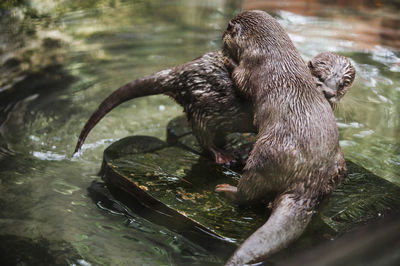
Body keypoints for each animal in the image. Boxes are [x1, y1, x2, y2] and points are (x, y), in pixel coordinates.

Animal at [74, 50, 354, 164]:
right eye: (319, 76)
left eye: (344, 82)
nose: (329, 92)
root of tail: (182, 71)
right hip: (203, 103)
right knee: (202, 134)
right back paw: (222, 154)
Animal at [214, 9, 354, 264]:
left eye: (227, 30)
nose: (221, 37)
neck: (272, 51)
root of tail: (307, 181)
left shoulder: (251, 69)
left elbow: (239, 78)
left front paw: (225, 58)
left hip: (266, 156)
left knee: (249, 192)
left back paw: (227, 189)